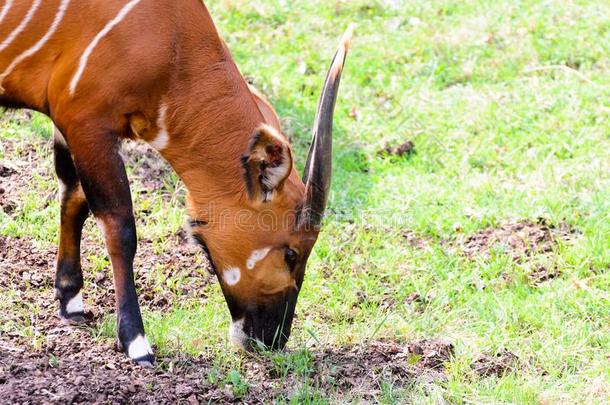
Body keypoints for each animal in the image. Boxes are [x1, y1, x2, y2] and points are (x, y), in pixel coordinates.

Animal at [0, 0, 350, 364]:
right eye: (291, 253)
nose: (274, 339)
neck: (174, 46)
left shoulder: (69, 122)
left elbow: (73, 197)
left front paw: (71, 301)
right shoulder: (88, 123)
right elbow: (120, 228)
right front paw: (136, 342)